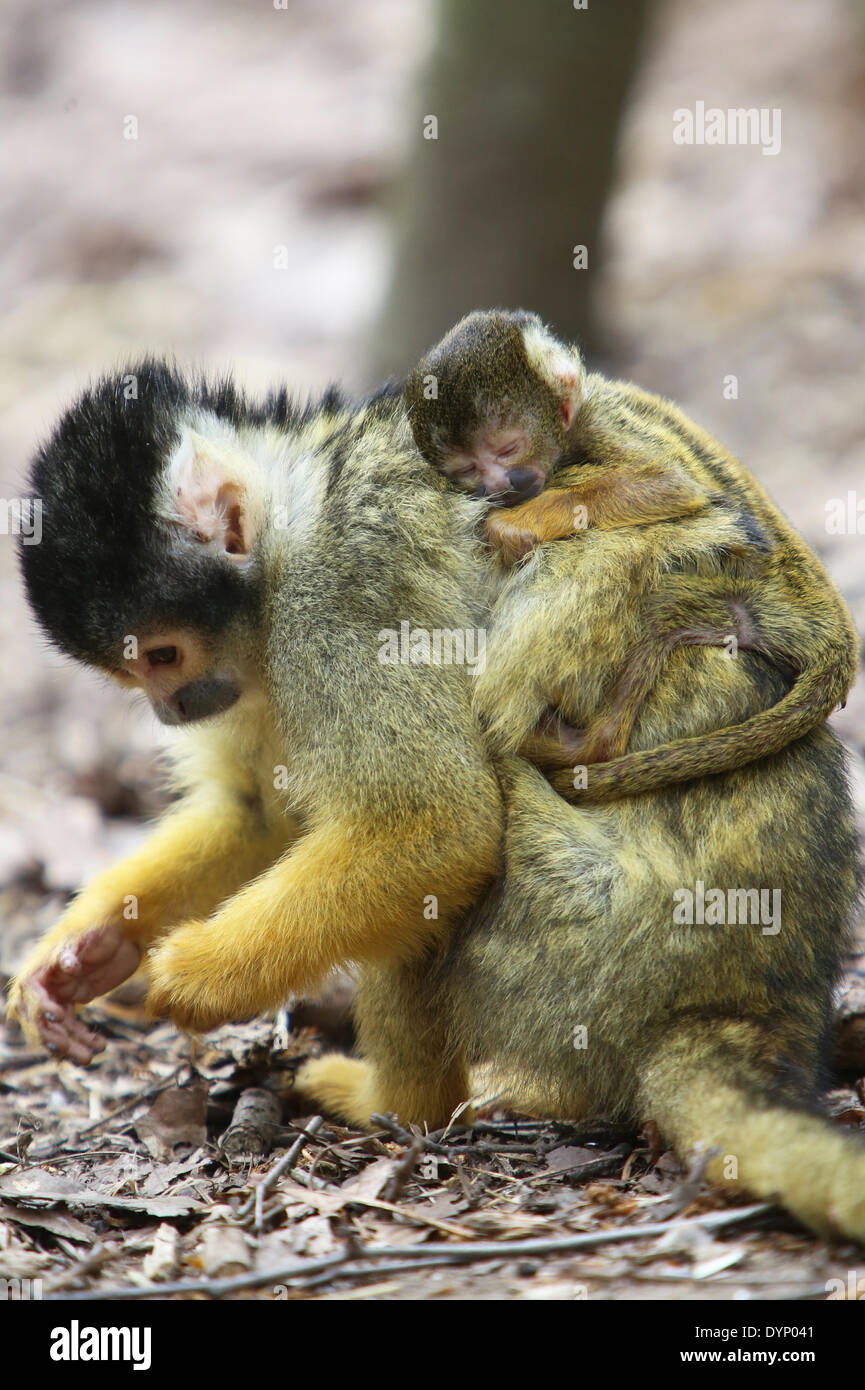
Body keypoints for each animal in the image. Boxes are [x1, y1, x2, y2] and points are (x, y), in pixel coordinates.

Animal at [8, 360, 865, 1244]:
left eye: (163, 656)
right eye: (135, 671)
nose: (171, 710)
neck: (297, 510)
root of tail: (743, 1003)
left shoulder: (333, 599)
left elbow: (435, 826)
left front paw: (186, 981)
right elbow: (259, 813)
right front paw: (85, 949)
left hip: (597, 945)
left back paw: (399, 1105)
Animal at [405, 309, 859, 802]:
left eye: (507, 449)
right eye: (467, 470)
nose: (498, 487)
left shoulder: (599, 421)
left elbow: (668, 485)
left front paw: (516, 525)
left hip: (731, 569)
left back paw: (591, 744)